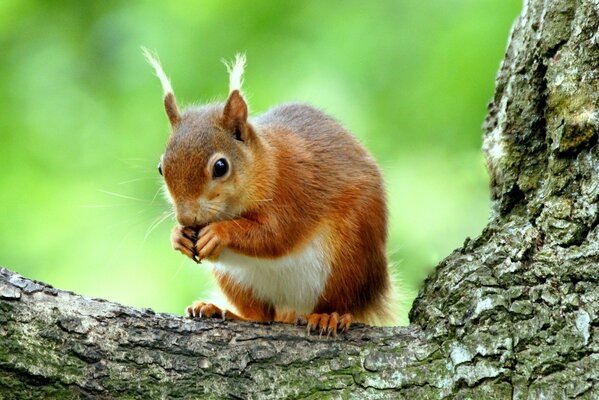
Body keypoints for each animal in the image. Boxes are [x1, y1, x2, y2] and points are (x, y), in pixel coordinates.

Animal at [143, 50, 392, 338]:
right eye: (161, 168)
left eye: (221, 166)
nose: (186, 219)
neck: (265, 164)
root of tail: (293, 309)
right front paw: (178, 236)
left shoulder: (293, 189)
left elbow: (275, 234)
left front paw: (218, 233)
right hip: (237, 281)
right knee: (260, 316)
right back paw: (219, 310)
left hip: (349, 256)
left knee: (341, 300)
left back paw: (329, 316)